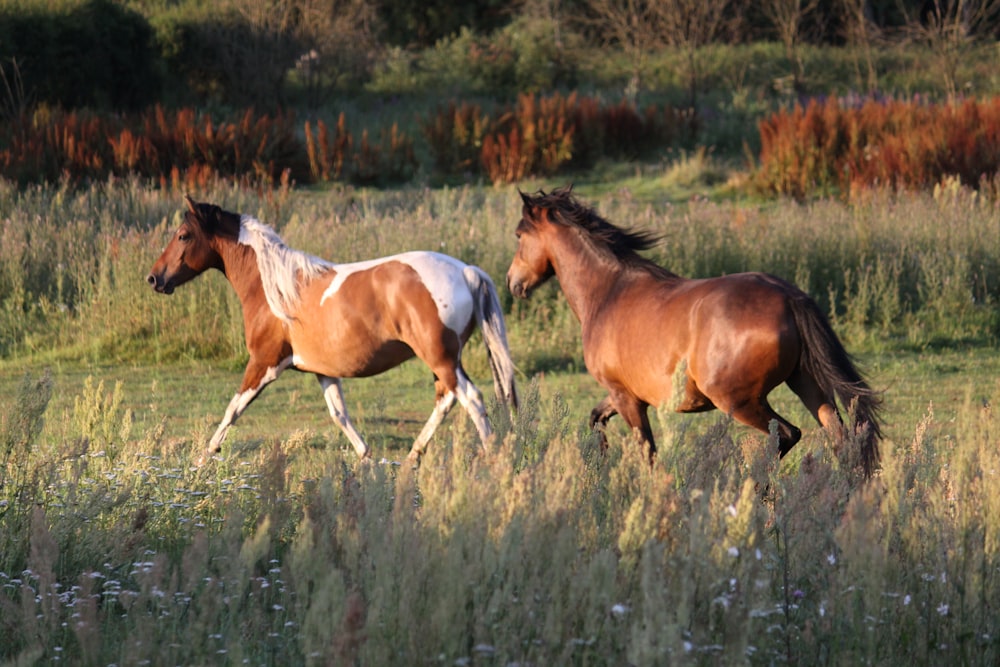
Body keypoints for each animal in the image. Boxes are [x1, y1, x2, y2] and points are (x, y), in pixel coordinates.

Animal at [149, 196, 524, 468]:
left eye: (183, 235)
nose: (154, 278)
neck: (275, 289)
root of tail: (466, 272)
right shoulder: (323, 371)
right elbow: (339, 415)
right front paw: (367, 459)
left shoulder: (264, 364)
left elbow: (232, 409)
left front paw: (202, 459)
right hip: (442, 360)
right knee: (446, 400)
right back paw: (412, 457)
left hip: (440, 357)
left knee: (471, 398)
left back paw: (495, 457)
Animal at [508, 185, 884, 478]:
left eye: (519, 235)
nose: (513, 283)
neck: (608, 292)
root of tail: (790, 298)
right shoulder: (623, 395)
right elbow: (596, 419)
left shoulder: (626, 397)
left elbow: (647, 453)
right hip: (806, 383)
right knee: (841, 439)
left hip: (740, 401)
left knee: (787, 434)